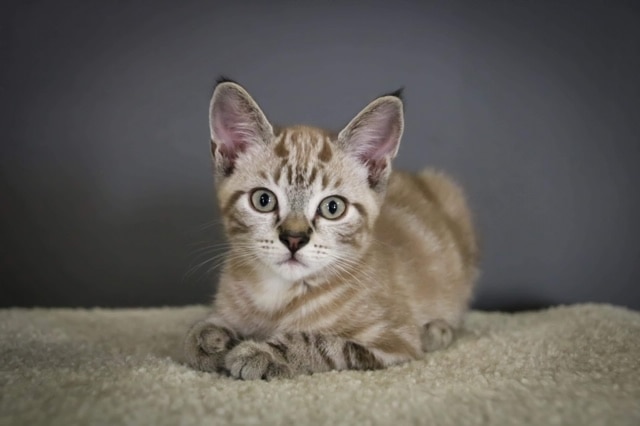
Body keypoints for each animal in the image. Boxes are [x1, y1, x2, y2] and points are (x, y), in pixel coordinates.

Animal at [182, 79, 478, 380]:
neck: (277, 295)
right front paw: (212, 340)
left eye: (332, 207)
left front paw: (262, 352)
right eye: (263, 200)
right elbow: (193, 335)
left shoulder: (394, 342)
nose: (294, 238)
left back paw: (436, 331)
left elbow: (321, 342)